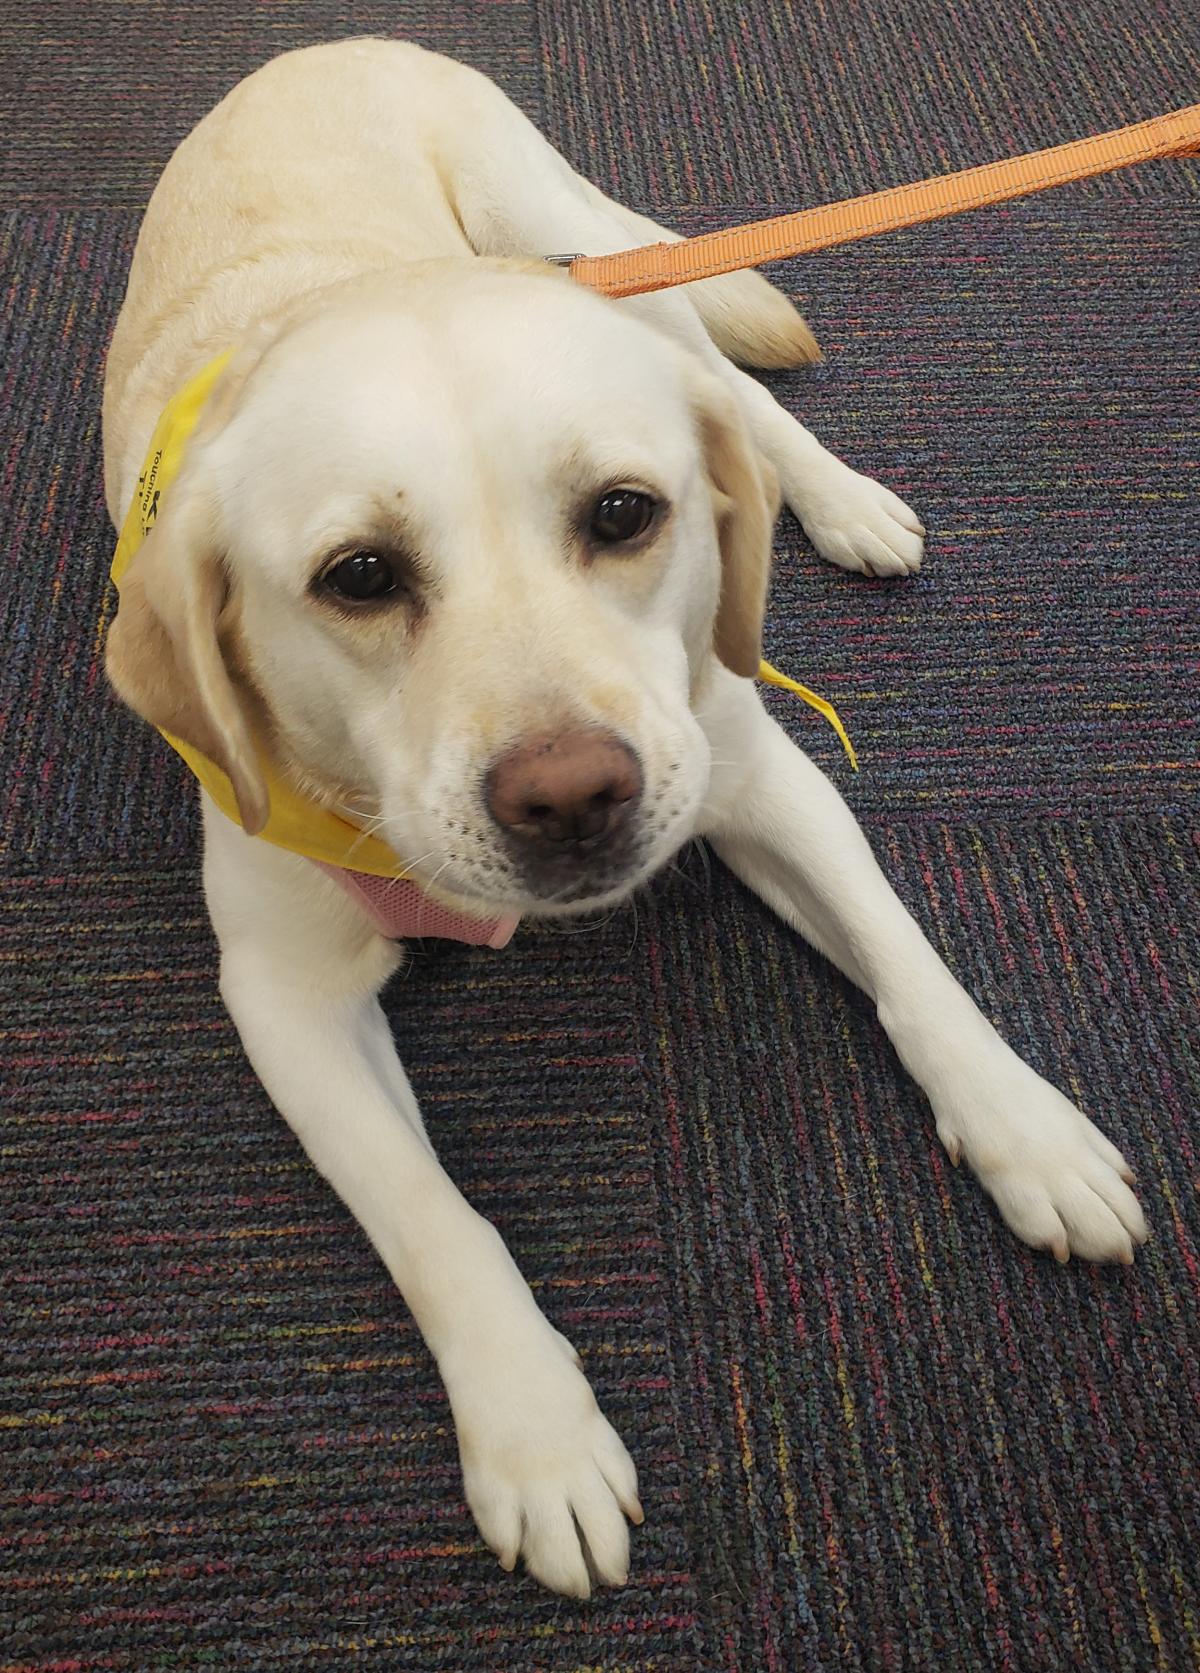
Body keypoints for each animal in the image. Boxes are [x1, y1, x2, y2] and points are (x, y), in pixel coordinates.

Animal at [100, 42, 1144, 1592]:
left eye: (624, 513)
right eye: (359, 576)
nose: (572, 795)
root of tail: (313, 43)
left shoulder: (757, 772)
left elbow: (914, 972)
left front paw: (1030, 1129)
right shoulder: (280, 991)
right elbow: (434, 1218)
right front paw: (537, 1433)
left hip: (587, 250)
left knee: (742, 406)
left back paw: (840, 501)